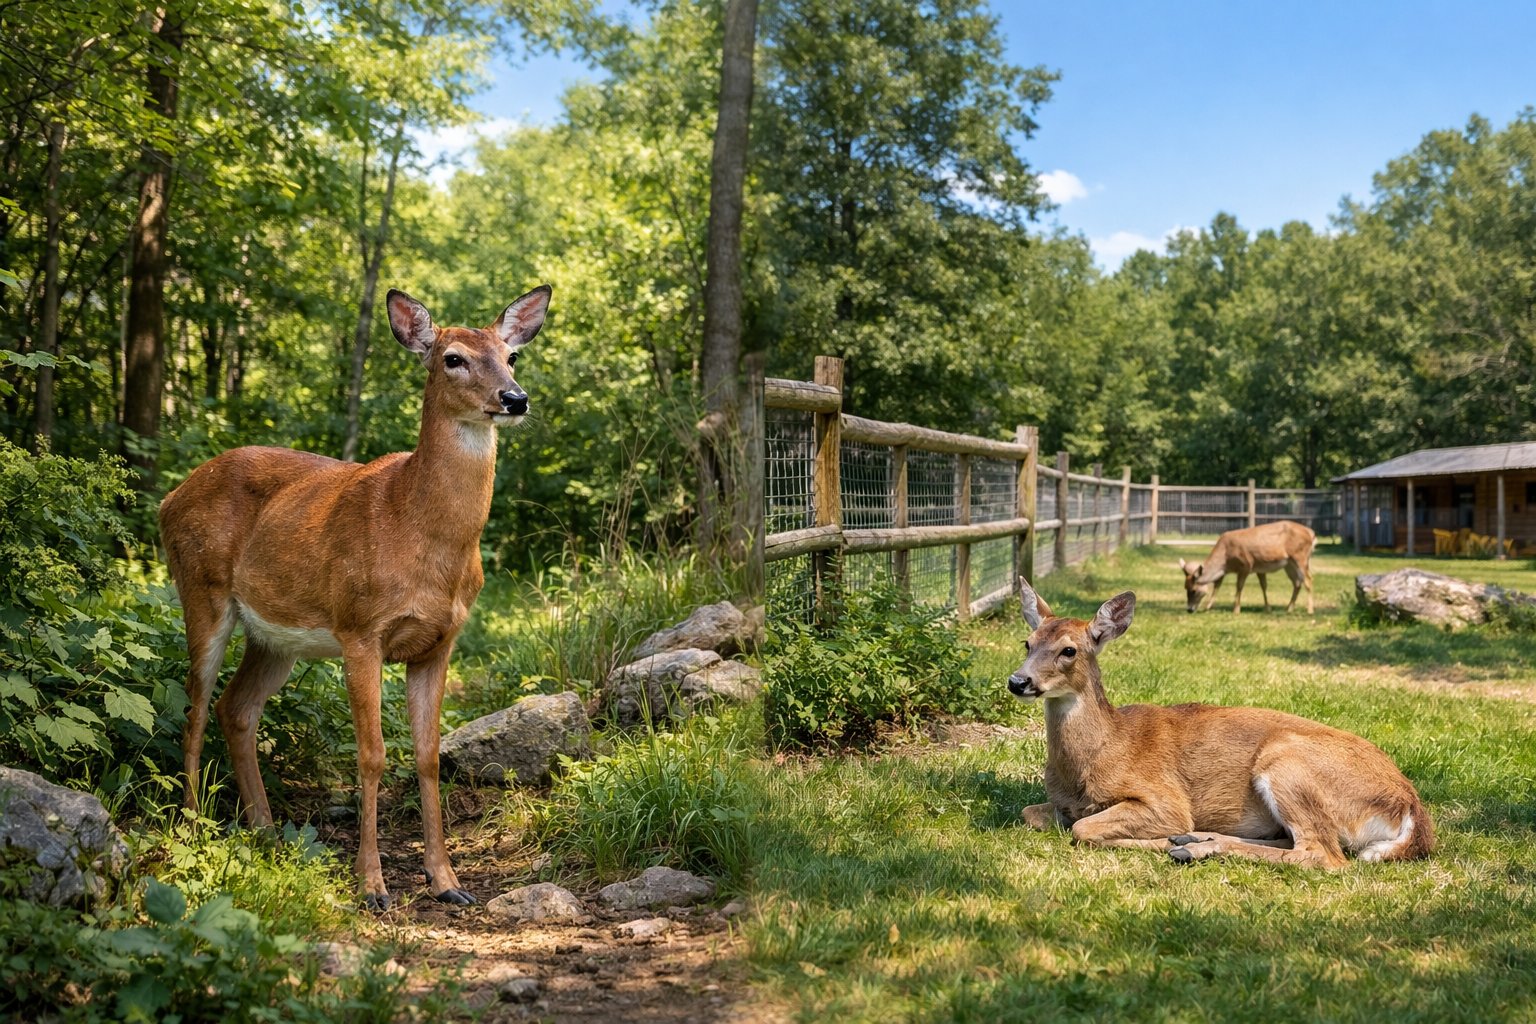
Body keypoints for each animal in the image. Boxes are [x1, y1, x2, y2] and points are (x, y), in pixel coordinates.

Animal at [159, 285, 551, 910]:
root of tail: (169, 498)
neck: (417, 529)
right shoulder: (360, 628)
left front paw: (447, 882)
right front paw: (372, 886)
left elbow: (428, 756)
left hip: (275, 637)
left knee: (236, 708)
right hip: (201, 590)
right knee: (194, 708)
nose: (515, 398)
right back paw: (194, 832)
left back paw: (266, 833)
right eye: (453, 358)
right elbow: (371, 756)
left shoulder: (440, 641)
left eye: (511, 356)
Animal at [1007, 577, 1434, 869]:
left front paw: (1164, 841)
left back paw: (1191, 846)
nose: (1018, 681)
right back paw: (1195, 841)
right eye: (1027, 643)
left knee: (1322, 855)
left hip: (1288, 764)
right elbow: (1030, 813)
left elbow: (1084, 830)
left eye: (1068, 650)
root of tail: (1412, 810)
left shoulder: (1164, 798)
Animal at [1178, 519, 1316, 614]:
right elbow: (1218, 585)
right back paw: (1289, 608)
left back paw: (1310, 610)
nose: (1189, 609)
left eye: (1193, 590)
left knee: (1308, 579)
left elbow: (1239, 586)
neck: (1225, 559)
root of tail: (1311, 533)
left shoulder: (1246, 565)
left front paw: (1236, 610)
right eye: (1185, 587)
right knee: (1297, 582)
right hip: (1289, 564)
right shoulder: (1258, 568)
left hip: (1300, 556)